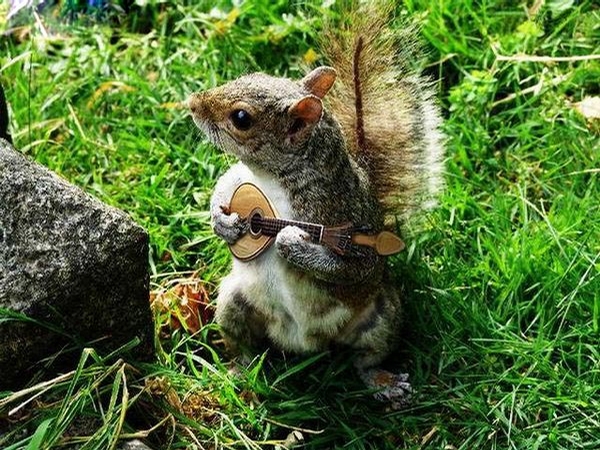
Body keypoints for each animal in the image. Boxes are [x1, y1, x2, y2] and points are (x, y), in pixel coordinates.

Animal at [188, 0, 446, 408]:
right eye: (251, 74)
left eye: (241, 118)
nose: (192, 103)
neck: (272, 178)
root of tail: (305, 344)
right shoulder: (242, 178)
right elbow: (223, 187)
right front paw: (222, 222)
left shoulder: (339, 214)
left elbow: (352, 266)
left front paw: (290, 242)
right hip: (232, 302)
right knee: (243, 344)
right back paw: (239, 370)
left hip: (383, 317)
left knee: (366, 358)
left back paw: (382, 381)